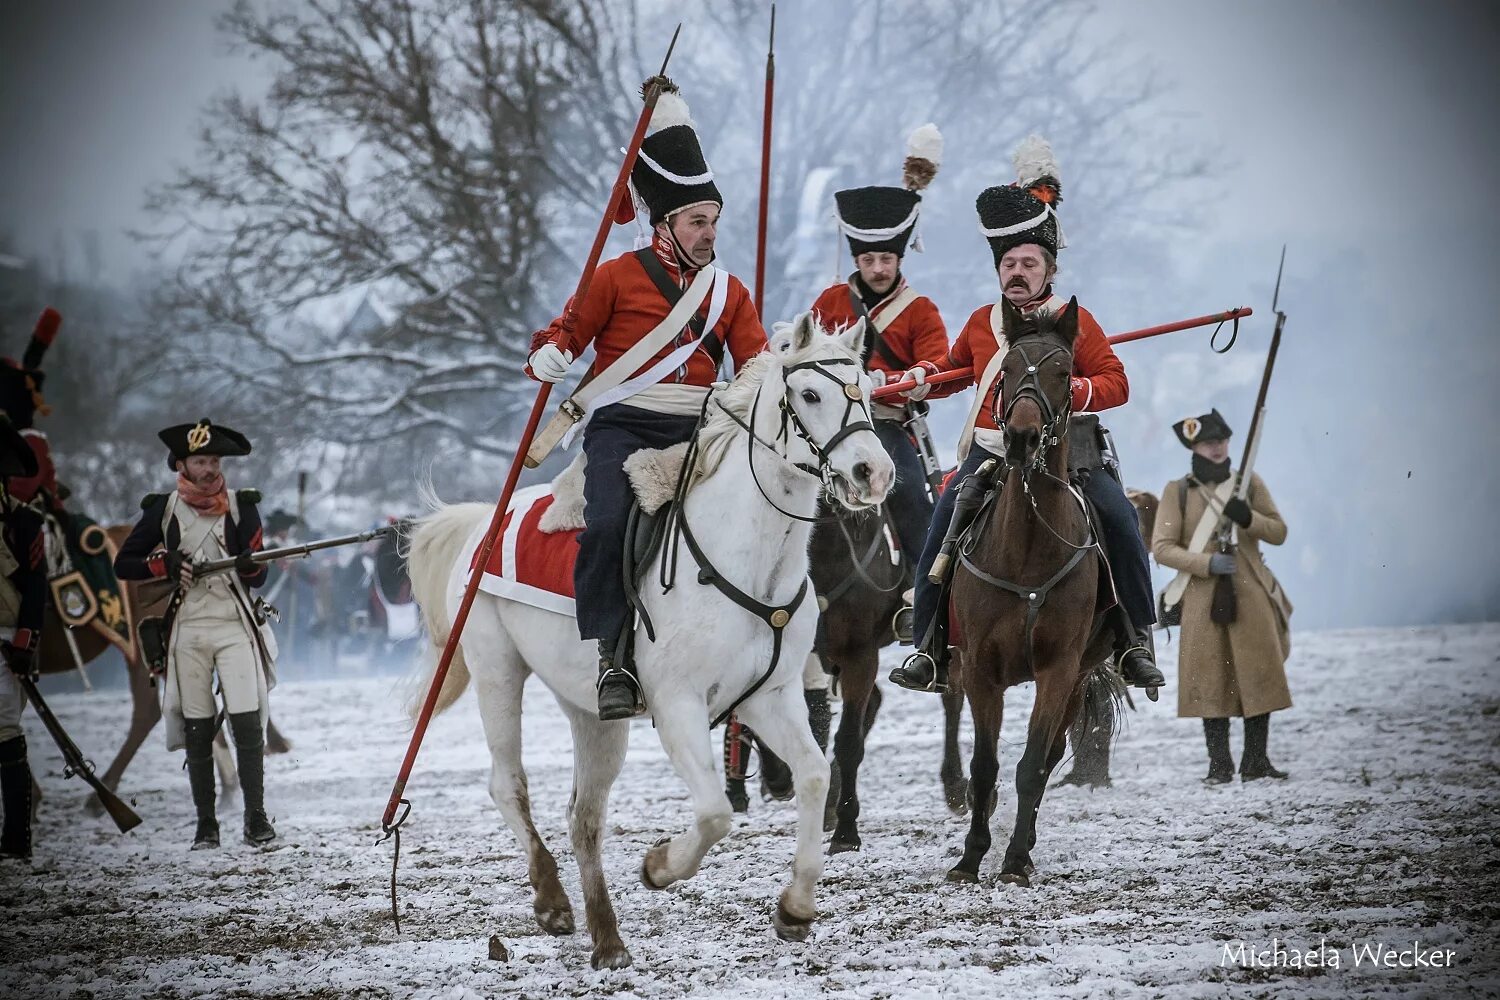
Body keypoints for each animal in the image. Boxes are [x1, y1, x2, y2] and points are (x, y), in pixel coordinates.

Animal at [408, 314, 888, 971]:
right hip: (497, 672)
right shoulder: (677, 704)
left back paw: (607, 939)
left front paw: (796, 906)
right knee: (509, 785)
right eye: (810, 395)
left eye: (867, 393)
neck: (746, 554)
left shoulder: (771, 697)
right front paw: (660, 866)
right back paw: (552, 900)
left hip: (592, 713)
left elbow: (815, 775)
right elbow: (714, 813)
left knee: (584, 817)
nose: (874, 473)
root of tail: (486, 517)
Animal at [948, 296, 1128, 881]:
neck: (1027, 547)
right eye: (1004, 370)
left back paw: (1024, 845)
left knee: (1047, 761)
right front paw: (970, 857)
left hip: (1079, 677)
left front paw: (1011, 862)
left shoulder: (1058, 669)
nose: (1023, 438)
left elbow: (1030, 765)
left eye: (1065, 372)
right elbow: (985, 765)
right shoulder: (978, 669)